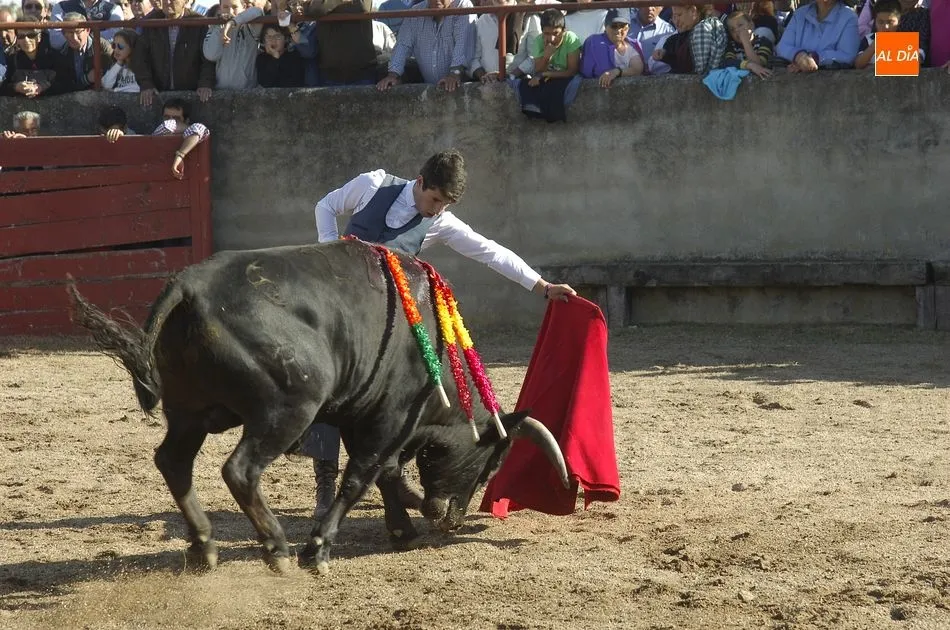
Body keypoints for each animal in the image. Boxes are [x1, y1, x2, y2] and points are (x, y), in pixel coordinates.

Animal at [68, 239, 569, 575]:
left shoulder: (363, 416)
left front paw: (402, 529)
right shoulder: (388, 419)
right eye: (490, 465)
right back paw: (278, 550)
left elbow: (385, 473)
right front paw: (320, 549)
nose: (452, 519)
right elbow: (360, 477)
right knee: (240, 470)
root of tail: (189, 286)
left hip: (190, 412)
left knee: (173, 461)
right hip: (287, 411)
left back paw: (205, 546)